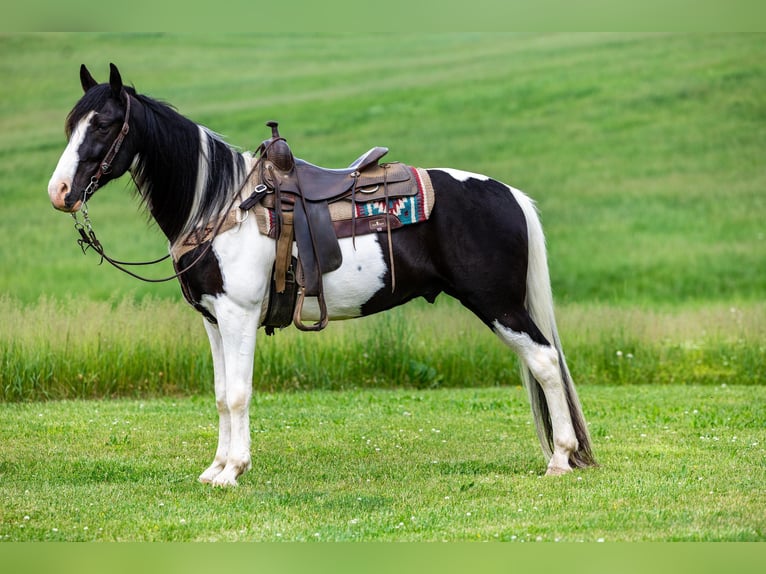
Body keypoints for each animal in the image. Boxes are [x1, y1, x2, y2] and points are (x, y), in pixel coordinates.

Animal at [46, 65, 600, 488]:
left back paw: (559, 459)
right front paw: (216, 468)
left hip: (499, 304)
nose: (60, 191)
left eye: (104, 124)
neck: (222, 206)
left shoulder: (239, 316)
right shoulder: (213, 319)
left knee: (546, 362)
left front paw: (233, 472)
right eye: (72, 125)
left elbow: (239, 393)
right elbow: (222, 395)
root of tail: (509, 194)